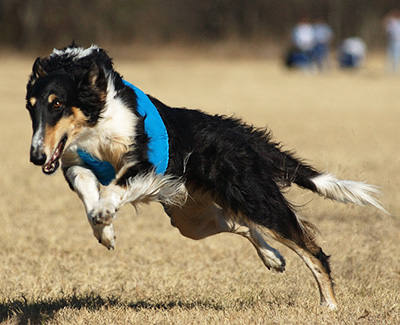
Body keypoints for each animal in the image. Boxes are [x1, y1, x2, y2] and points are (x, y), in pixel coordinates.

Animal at [26, 44, 386, 308]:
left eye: (57, 104)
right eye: (31, 107)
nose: (36, 156)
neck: (96, 117)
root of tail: (241, 135)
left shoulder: (146, 164)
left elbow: (115, 186)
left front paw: (105, 212)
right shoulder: (74, 162)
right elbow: (88, 193)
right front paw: (104, 230)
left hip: (254, 200)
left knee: (312, 250)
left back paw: (329, 305)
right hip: (191, 219)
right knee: (242, 224)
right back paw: (273, 258)